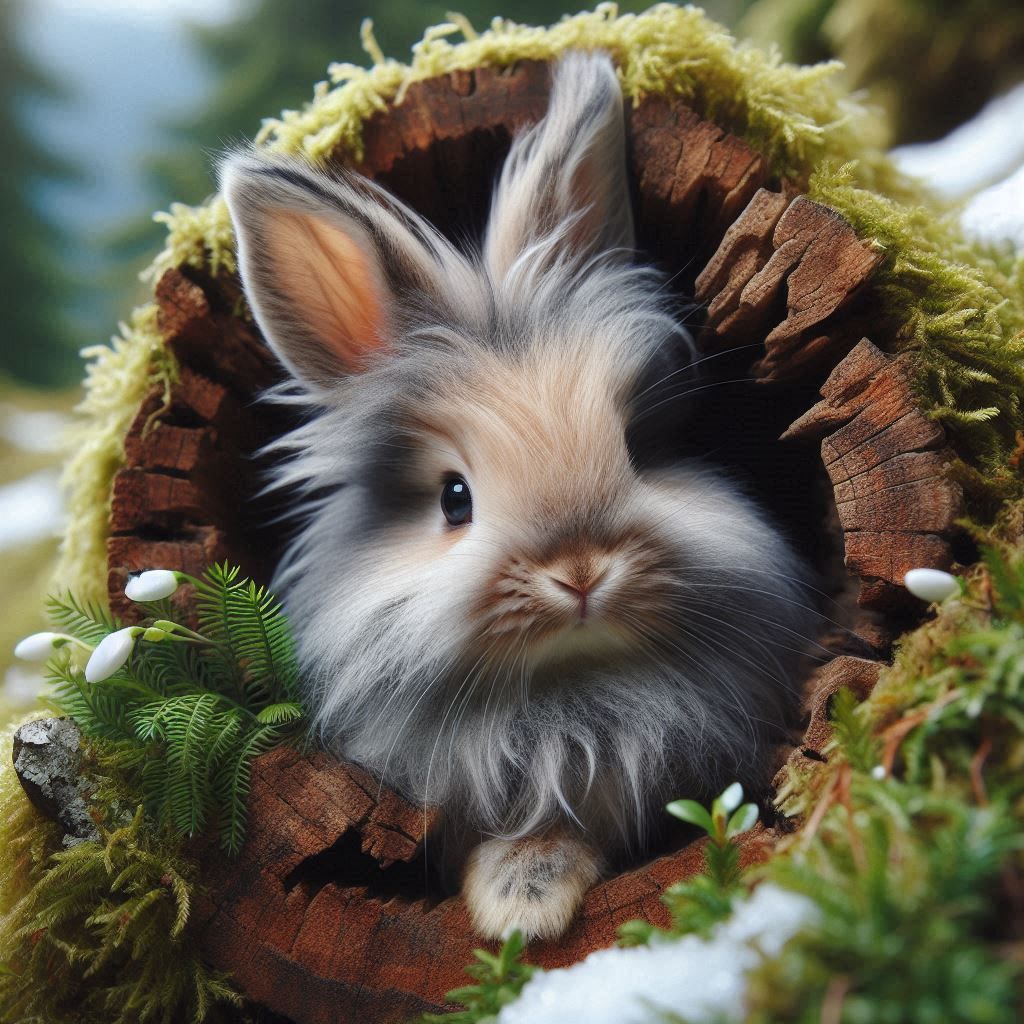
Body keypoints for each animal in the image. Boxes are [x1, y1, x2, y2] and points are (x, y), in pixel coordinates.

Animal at [220, 51, 815, 942]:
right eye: (454, 499)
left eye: (639, 450)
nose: (579, 572)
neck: (566, 694)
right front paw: (512, 908)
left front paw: (525, 907)